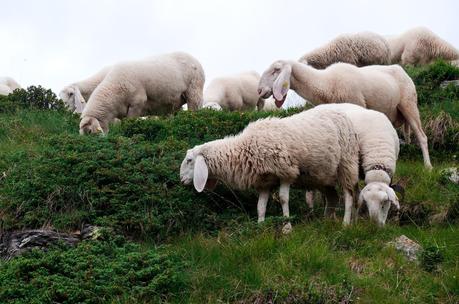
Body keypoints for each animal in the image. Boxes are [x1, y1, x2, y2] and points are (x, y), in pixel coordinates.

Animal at [181, 106, 362, 230]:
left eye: (189, 160)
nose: (181, 179)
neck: (245, 148)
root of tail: (342, 115)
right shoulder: (264, 181)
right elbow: (260, 206)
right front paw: (260, 226)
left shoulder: (286, 172)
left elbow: (283, 199)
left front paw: (287, 227)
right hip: (323, 175)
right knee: (333, 197)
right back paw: (327, 221)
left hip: (346, 164)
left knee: (348, 195)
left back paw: (346, 223)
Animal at [260, 59, 434, 169]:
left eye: (276, 70)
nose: (259, 91)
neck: (326, 84)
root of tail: (401, 69)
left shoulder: (357, 105)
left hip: (409, 103)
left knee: (422, 136)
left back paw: (428, 166)